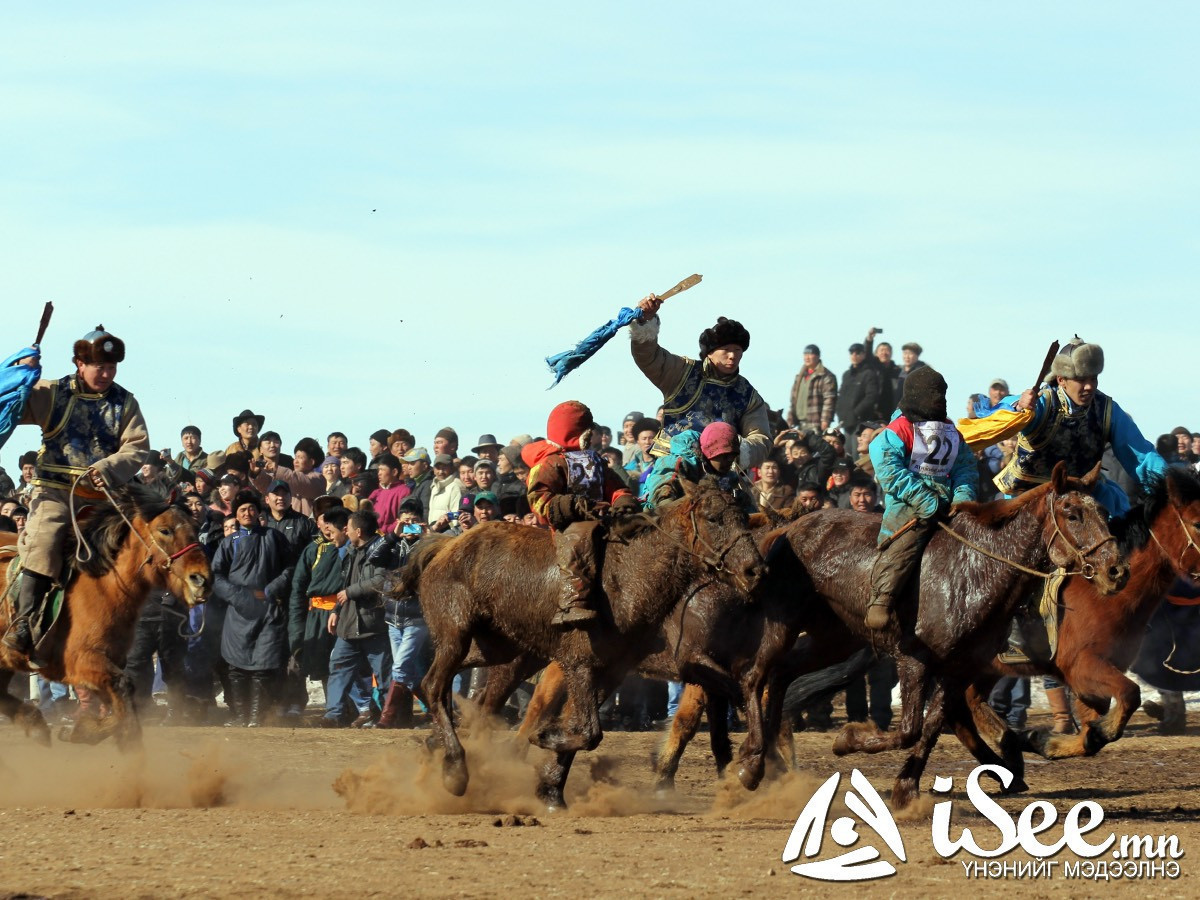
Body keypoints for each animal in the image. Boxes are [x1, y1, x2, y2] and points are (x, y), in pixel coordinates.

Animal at [0, 489, 208, 748]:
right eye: (165, 530)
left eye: (195, 526)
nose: (201, 579)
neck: (103, 585)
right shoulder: (81, 660)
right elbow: (124, 690)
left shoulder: (108, 663)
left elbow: (121, 704)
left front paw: (82, 731)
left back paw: (35, 723)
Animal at [398, 482, 763, 816]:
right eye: (714, 518)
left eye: (743, 516)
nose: (755, 570)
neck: (628, 577)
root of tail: (446, 546)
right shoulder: (581, 663)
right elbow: (588, 730)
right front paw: (544, 739)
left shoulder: (613, 669)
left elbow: (743, 687)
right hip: (456, 633)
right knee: (434, 684)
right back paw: (455, 770)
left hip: (495, 647)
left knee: (452, 687)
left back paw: (439, 745)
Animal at [768, 465, 1123, 811]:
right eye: (1072, 514)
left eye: (1104, 512)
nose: (1116, 571)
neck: (976, 570)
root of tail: (789, 528)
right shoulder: (914, 660)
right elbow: (910, 730)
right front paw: (847, 740)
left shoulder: (959, 669)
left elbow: (931, 727)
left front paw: (906, 790)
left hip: (833, 640)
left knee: (785, 674)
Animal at [969, 465, 1200, 763]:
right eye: (1197, 523)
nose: (1118, 573)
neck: (1103, 597)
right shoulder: (1082, 666)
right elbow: (1129, 694)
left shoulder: (1096, 680)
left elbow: (1090, 732)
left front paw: (1044, 741)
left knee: (972, 700)